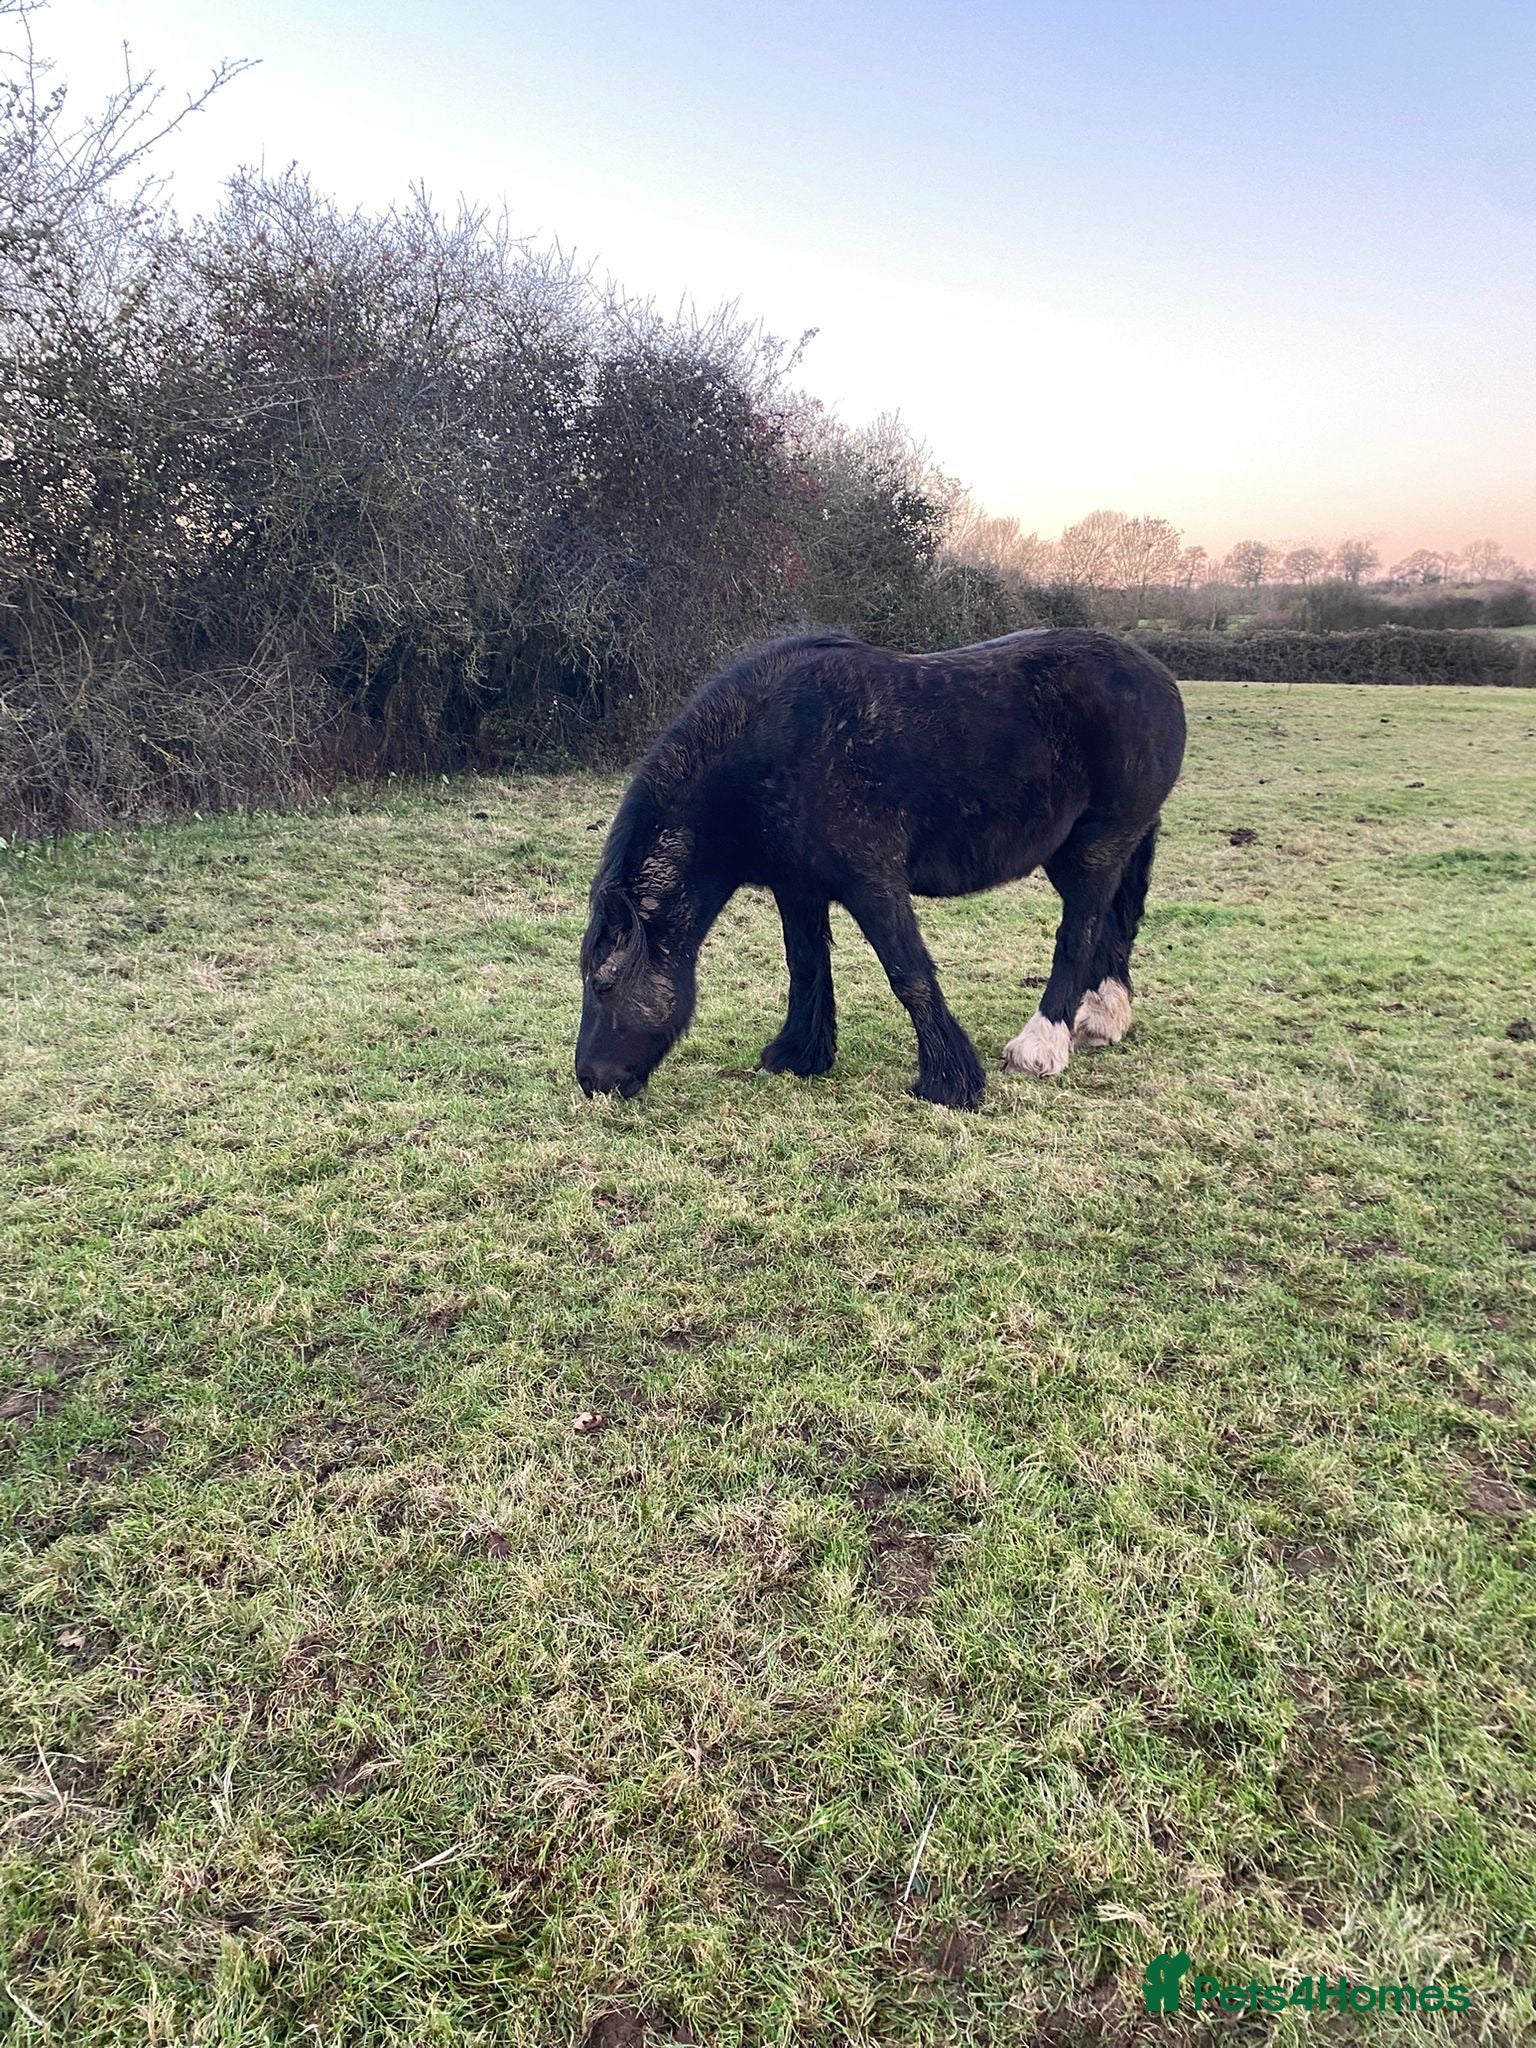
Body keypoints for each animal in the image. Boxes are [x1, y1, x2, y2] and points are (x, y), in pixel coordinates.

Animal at [576, 627, 1186, 1110]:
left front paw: (949, 1083)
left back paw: (1041, 1045)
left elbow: (908, 974)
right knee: (1114, 925)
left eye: (604, 984)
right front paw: (800, 1053)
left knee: (1080, 933)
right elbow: (806, 966)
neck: (768, 757)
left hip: (1095, 848)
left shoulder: (872, 884)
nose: (591, 1080)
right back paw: (1104, 1018)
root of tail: (1158, 677)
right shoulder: (797, 888)